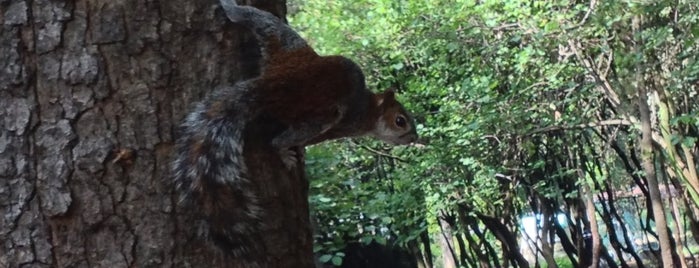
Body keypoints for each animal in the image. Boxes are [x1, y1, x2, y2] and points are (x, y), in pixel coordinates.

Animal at [172, 0, 418, 260]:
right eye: (400, 121)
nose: (414, 138)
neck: (368, 110)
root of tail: (273, 85)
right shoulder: (343, 125)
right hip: (320, 116)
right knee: (278, 139)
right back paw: (284, 152)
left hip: (286, 45)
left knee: (260, 21)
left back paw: (232, 8)